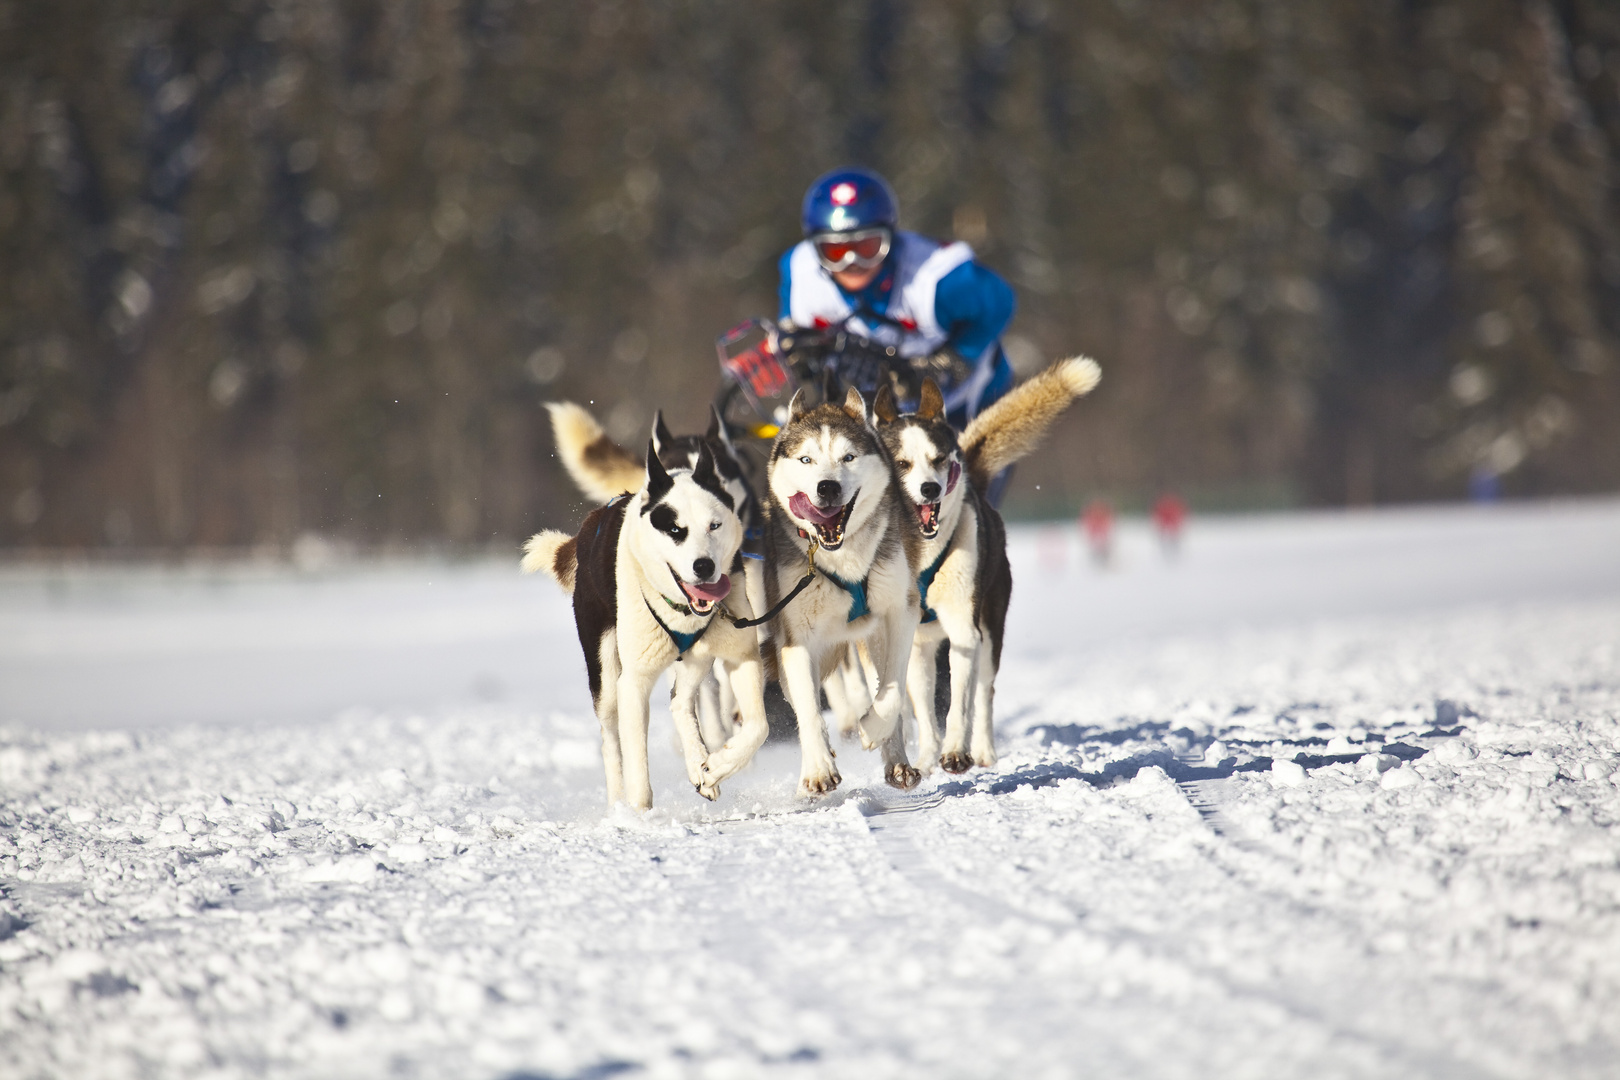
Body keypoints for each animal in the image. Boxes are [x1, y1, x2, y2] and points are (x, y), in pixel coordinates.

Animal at [521, 440, 767, 809]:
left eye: (714, 525)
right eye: (675, 530)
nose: (705, 566)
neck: (681, 610)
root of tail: (589, 525)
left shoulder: (741, 654)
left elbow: (758, 728)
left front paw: (715, 767)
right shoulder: (633, 682)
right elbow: (636, 766)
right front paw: (638, 813)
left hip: (698, 658)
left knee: (680, 701)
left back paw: (699, 762)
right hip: (606, 677)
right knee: (611, 741)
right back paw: (617, 803)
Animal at [758, 383, 926, 790]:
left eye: (848, 457)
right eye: (806, 460)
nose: (828, 487)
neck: (842, 559)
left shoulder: (901, 611)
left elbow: (892, 691)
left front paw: (873, 728)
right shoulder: (796, 637)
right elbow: (808, 707)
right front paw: (819, 767)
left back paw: (896, 758)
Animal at [874, 359, 1101, 773]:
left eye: (938, 459)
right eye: (902, 463)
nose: (930, 489)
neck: (922, 554)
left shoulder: (966, 631)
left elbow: (960, 704)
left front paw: (955, 751)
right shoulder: (910, 640)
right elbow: (924, 709)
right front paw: (929, 757)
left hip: (991, 631)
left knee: (984, 693)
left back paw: (982, 750)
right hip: (925, 646)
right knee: (927, 700)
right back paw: (929, 755)